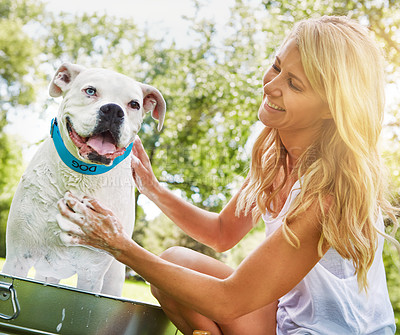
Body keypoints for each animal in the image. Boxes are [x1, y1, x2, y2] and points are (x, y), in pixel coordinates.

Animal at [1, 63, 166, 296]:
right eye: (90, 91)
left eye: (134, 104)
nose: (113, 110)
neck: (82, 174)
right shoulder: (17, 259)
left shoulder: (92, 273)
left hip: (113, 278)